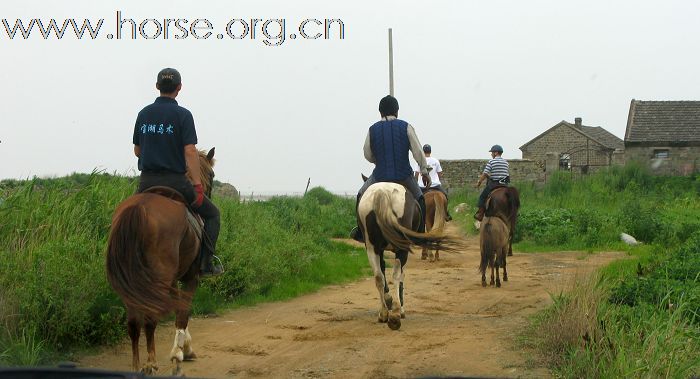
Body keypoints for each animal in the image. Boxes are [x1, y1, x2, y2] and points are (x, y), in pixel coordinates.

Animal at [106, 147, 216, 376]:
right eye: (211, 174)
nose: (206, 193)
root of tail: (139, 208)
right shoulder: (191, 276)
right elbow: (183, 312)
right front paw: (179, 353)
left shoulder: (173, 279)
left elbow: (178, 308)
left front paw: (185, 348)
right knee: (149, 318)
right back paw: (151, 363)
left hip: (131, 280)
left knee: (133, 322)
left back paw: (137, 365)